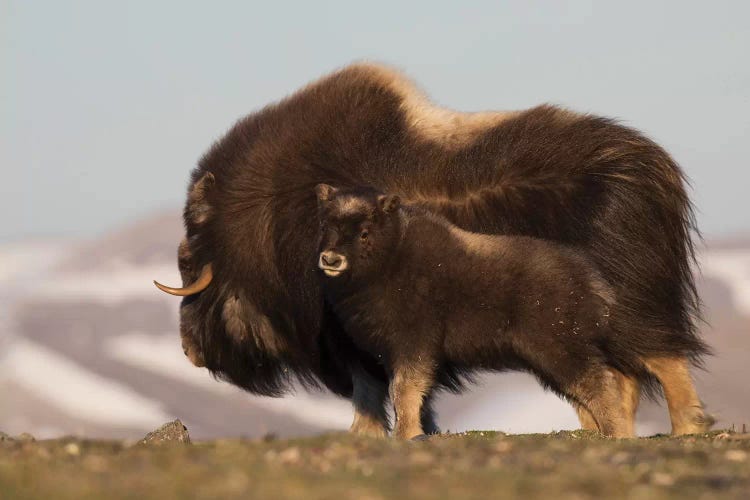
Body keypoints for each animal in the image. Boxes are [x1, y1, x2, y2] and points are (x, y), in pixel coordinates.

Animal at [314, 185, 712, 438]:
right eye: (327, 226)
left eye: (365, 232)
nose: (330, 260)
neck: (392, 256)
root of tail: (590, 279)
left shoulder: (413, 346)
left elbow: (405, 391)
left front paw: (408, 436)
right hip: (553, 359)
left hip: (560, 349)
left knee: (606, 382)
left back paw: (625, 433)